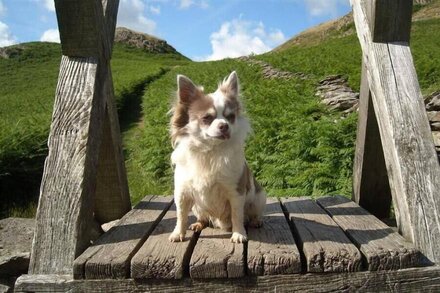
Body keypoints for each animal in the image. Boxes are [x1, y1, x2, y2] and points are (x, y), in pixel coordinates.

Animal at [168, 70, 264, 242]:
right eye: (207, 118)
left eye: (230, 117)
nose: (224, 125)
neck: (210, 150)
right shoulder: (182, 193)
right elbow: (181, 215)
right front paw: (178, 233)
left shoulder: (236, 192)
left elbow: (237, 215)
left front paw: (238, 234)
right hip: (197, 206)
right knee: (204, 218)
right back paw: (198, 224)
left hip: (259, 198)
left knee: (251, 213)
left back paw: (255, 221)